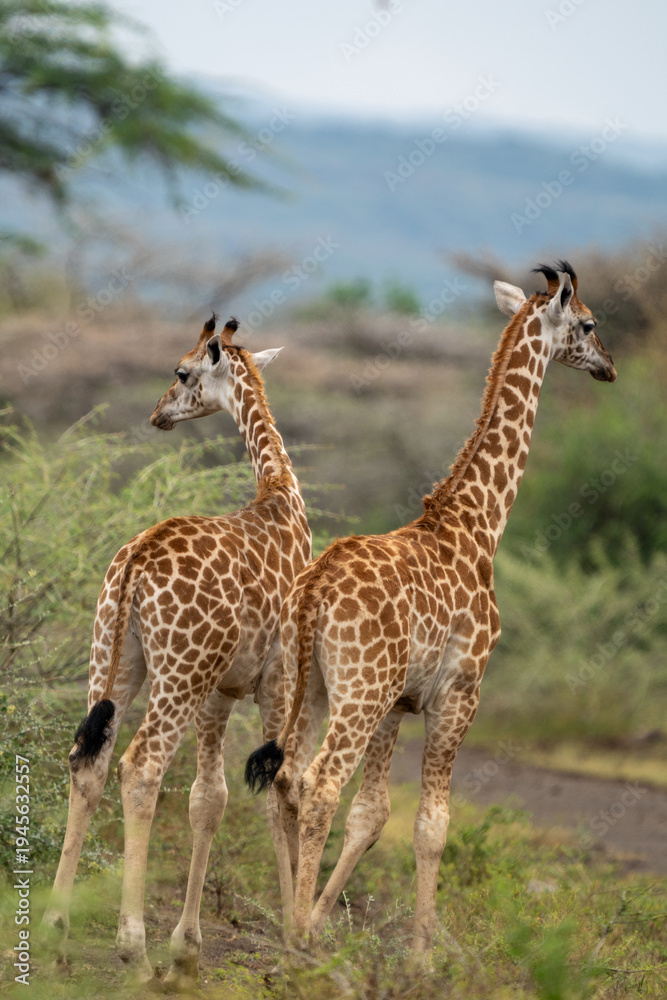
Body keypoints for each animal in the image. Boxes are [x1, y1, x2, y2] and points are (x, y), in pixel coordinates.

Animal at [43, 316, 311, 987]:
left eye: (182, 372)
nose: (159, 413)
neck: (281, 496)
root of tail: (136, 562)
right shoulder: (276, 680)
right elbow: (279, 791)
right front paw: (295, 947)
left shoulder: (222, 689)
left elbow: (209, 800)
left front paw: (187, 952)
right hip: (178, 671)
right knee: (141, 766)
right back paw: (132, 951)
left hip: (117, 657)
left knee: (89, 760)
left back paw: (57, 935)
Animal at [246, 261, 616, 952]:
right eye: (587, 323)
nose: (608, 366)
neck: (477, 523)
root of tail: (314, 592)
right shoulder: (458, 693)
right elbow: (431, 824)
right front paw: (421, 950)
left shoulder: (399, 702)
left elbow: (373, 815)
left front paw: (324, 915)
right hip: (358, 692)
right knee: (320, 782)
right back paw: (301, 937)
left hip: (311, 685)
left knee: (289, 776)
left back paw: (292, 924)